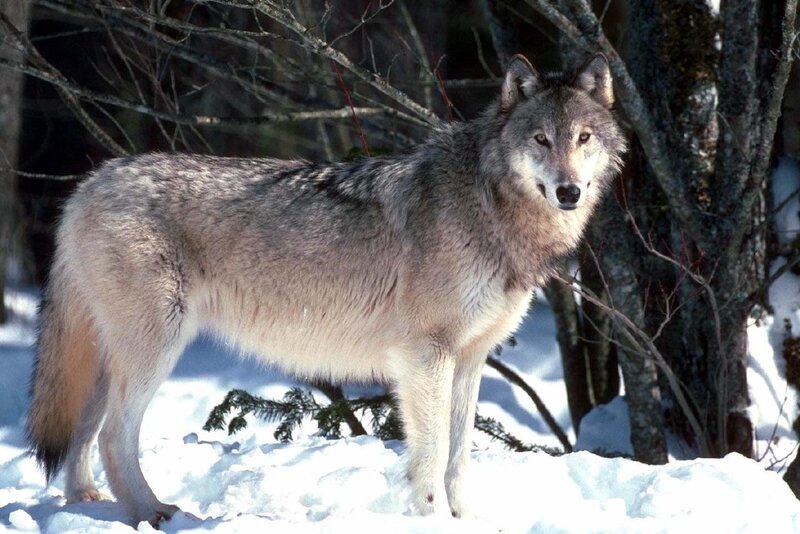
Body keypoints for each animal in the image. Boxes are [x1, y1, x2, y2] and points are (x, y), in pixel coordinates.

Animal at [27, 53, 625, 526]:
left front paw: (469, 521)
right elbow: (432, 456)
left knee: (83, 431)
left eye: (583, 139)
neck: (489, 206)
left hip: (110, 358)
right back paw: (154, 514)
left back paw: (88, 505)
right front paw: (433, 520)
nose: (569, 192)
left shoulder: (471, 358)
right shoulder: (425, 356)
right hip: (156, 348)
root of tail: (89, 183)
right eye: (540, 140)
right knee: (113, 436)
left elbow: (459, 456)